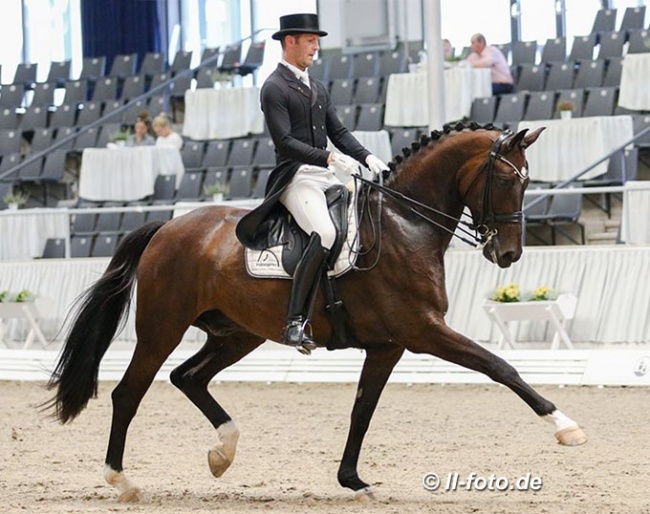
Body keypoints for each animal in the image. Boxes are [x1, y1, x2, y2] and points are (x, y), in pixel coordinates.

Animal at [46, 123, 584, 500]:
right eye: (505, 179)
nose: (509, 254)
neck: (405, 224)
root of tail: (166, 227)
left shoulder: (389, 346)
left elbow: (362, 410)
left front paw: (353, 480)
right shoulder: (424, 330)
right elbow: (500, 366)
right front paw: (566, 427)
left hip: (238, 334)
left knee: (188, 377)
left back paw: (223, 451)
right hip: (162, 328)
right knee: (129, 394)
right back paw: (122, 481)